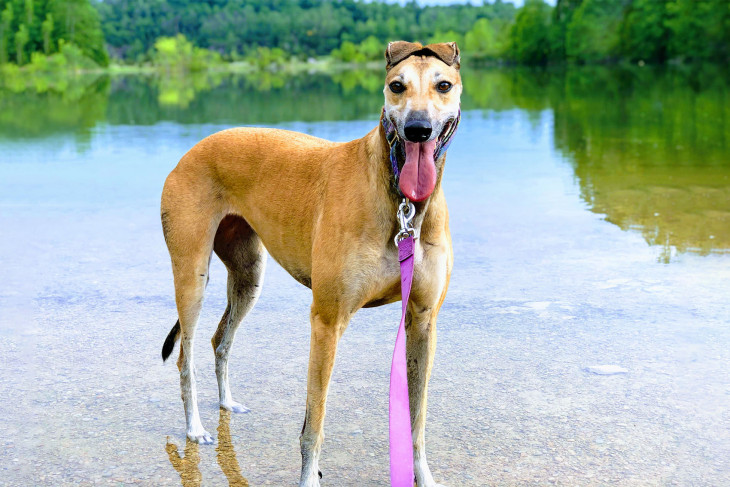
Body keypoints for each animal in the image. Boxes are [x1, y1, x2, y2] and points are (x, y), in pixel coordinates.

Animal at [161, 40, 460, 486]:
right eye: (396, 85)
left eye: (443, 85)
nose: (418, 129)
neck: (400, 202)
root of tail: (190, 152)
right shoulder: (327, 321)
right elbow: (313, 424)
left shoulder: (422, 321)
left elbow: (417, 420)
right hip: (192, 275)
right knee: (186, 354)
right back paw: (195, 428)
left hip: (248, 275)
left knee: (220, 340)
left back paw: (227, 404)